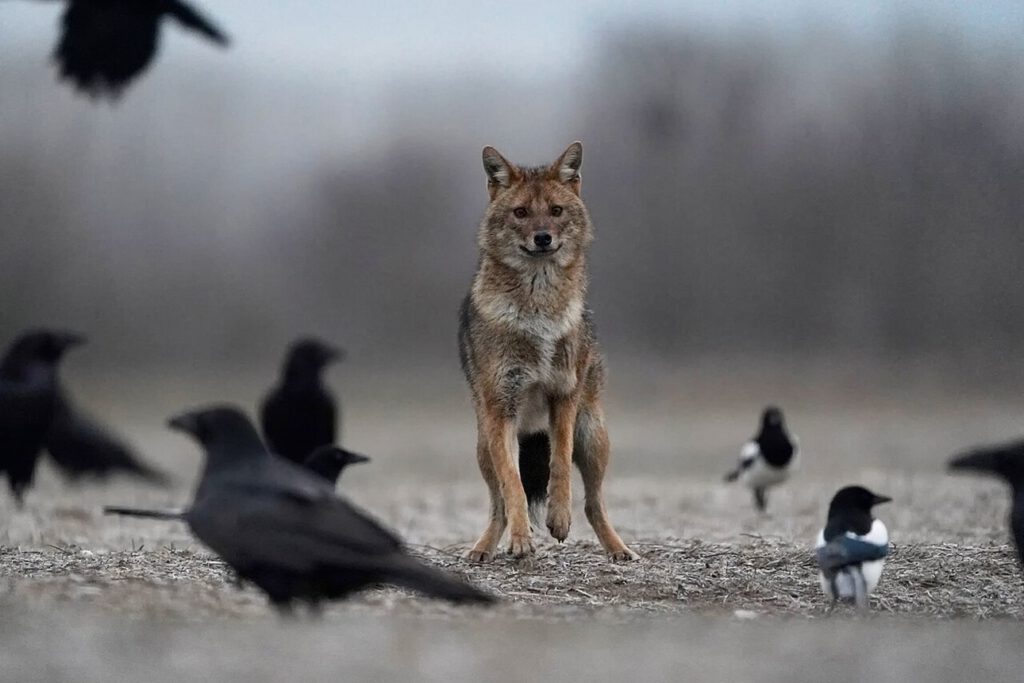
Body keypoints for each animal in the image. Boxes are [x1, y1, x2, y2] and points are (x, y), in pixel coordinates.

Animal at [458, 141, 638, 562]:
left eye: (556, 211)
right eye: (521, 212)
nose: (543, 238)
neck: (537, 313)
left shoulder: (563, 397)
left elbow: (559, 465)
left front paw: (558, 519)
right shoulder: (501, 412)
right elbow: (515, 485)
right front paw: (522, 541)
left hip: (594, 438)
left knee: (594, 503)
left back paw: (619, 549)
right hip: (483, 446)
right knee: (498, 504)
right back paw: (483, 549)